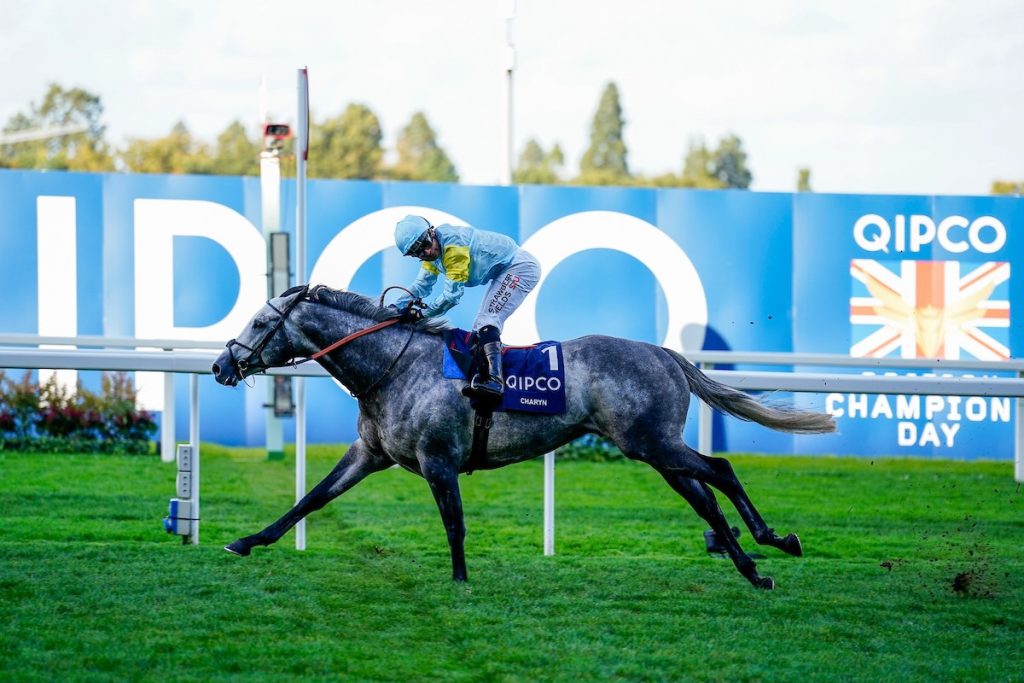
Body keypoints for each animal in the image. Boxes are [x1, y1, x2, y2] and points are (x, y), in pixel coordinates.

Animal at [211, 282, 835, 589]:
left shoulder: (438, 459)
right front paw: (247, 540)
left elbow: (455, 524)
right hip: (655, 451)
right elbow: (310, 499)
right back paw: (755, 569)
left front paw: (460, 581)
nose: (220, 365)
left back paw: (774, 541)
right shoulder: (370, 453)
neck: (393, 366)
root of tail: (663, 353)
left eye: (260, 323)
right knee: (705, 499)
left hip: (652, 444)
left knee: (721, 472)